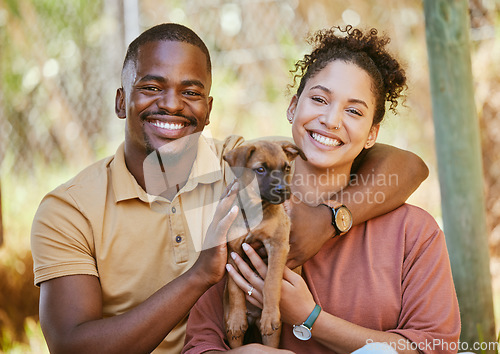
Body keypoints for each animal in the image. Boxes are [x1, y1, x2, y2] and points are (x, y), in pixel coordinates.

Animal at [222, 140, 304, 348]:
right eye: (260, 169)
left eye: (287, 168)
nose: (283, 190)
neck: (254, 210)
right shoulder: (233, 250)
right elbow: (234, 286)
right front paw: (236, 318)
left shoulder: (277, 245)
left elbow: (271, 282)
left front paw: (270, 315)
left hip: (272, 338)